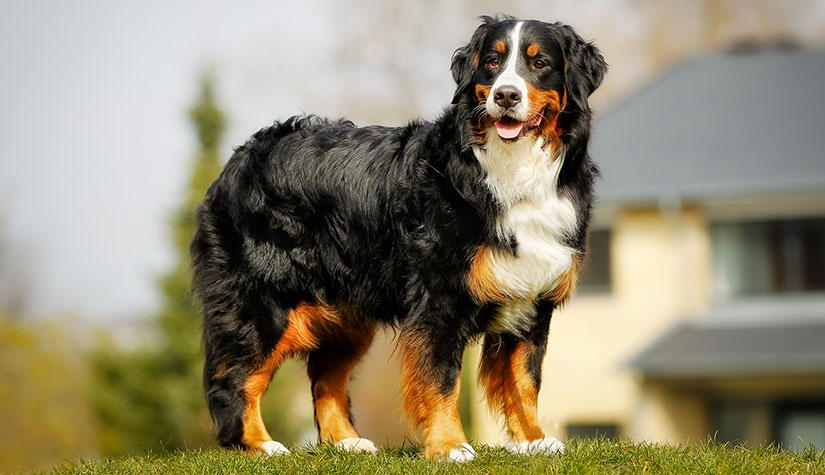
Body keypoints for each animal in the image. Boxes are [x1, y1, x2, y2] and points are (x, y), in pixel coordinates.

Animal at [192, 14, 604, 462]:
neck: (513, 170)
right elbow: (441, 378)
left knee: (326, 378)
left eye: (540, 63)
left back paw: (346, 442)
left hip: (347, 313)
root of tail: (240, 157)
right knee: (235, 378)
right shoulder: (440, 299)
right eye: (492, 62)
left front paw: (533, 441)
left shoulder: (532, 297)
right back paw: (260, 445)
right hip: (264, 302)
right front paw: (450, 446)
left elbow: (526, 380)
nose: (506, 95)